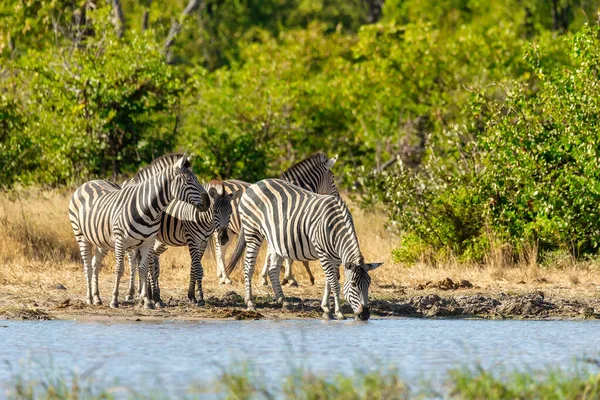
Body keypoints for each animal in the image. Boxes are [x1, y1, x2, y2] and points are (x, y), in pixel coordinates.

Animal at [67, 155, 209, 308]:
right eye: (189, 181)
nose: (208, 203)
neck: (148, 208)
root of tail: (88, 182)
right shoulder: (121, 240)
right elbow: (120, 269)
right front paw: (115, 300)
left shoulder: (148, 241)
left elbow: (144, 269)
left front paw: (147, 300)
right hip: (81, 235)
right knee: (87, 264)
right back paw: (89, 298)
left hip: (101, 239)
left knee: (95, 263)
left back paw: (97, 297)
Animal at [216, 152, 338, 286]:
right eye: (332, 178)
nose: (337, 197)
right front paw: (286, 277)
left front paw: (279, 276)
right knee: (219, 249)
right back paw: (225, 277)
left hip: (229, 230)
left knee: (221, 250)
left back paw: (223, 276)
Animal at [223, 180, 382, 320]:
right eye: (354, 285)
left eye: (369, 283)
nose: (365, 315)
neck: (336, 228)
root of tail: (254, 184)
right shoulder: (323, 254)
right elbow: (335, 284)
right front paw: (339, 313)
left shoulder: (336, 258)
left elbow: (329, 282)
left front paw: (326, 309)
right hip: (252, 231)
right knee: (248, 267)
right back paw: (250, 303)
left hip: (277, 240)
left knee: (273, 269)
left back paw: (284, 301)